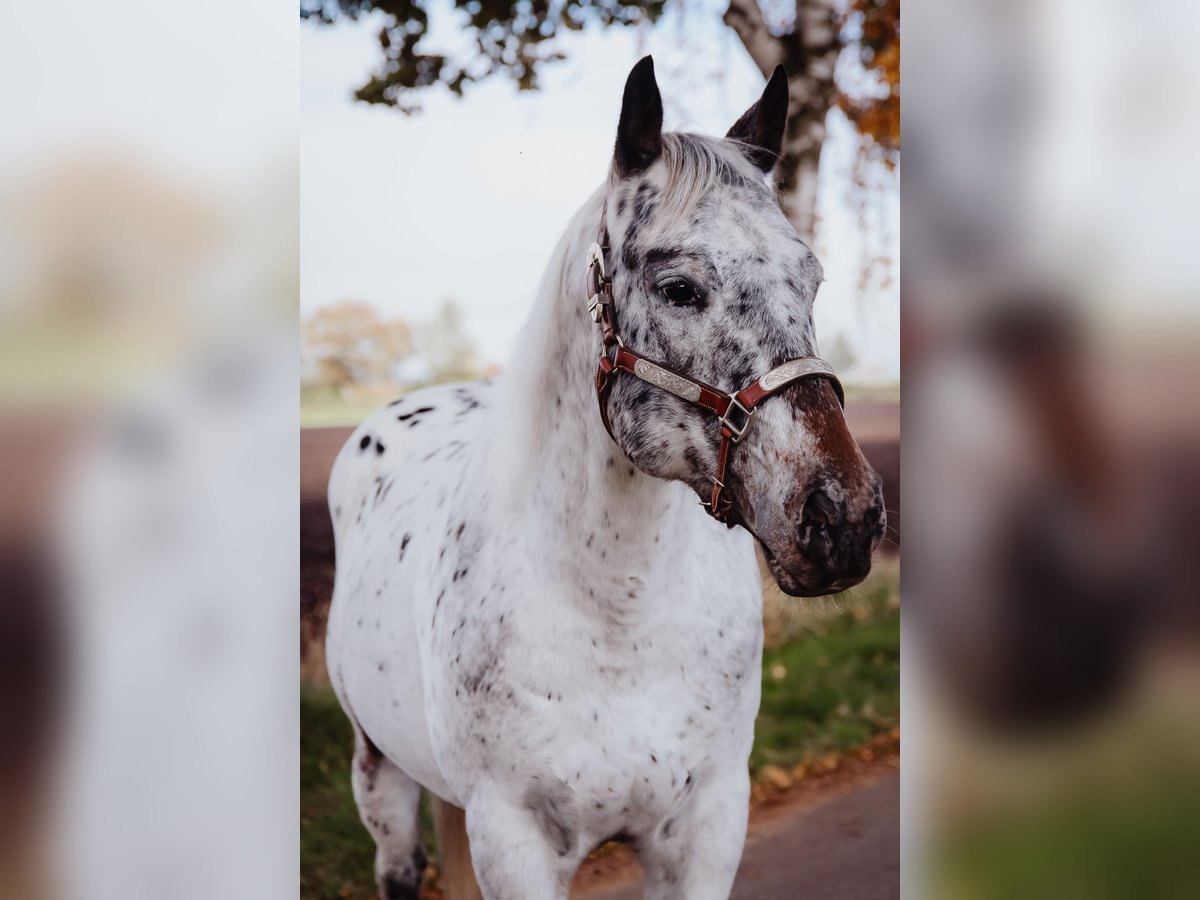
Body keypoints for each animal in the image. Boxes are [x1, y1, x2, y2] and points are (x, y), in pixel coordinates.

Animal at [324, 56, 888, 900]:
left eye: (811, 280)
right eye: (678, 288)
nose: (843, 518)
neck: (619, 619)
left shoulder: (706, 830)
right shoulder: (515, 842)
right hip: (379, 775)